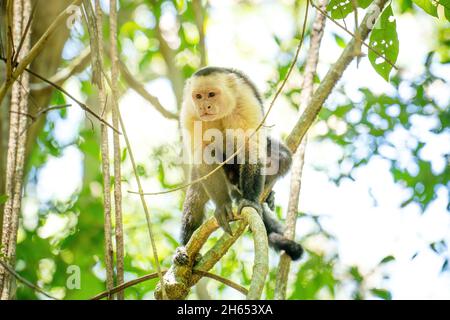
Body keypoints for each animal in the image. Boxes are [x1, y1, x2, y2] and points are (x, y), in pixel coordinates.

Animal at [176, 65, 302, 262]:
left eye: (211, 94)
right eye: (198, 96)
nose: (204, 106)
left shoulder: (245, 100)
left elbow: (251, 150)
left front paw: (249, 200)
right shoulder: (189, 113)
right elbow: (204, 157)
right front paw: (222, 206)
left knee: (281, 157)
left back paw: (263, 194)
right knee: (196, 193)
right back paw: (185, 248)